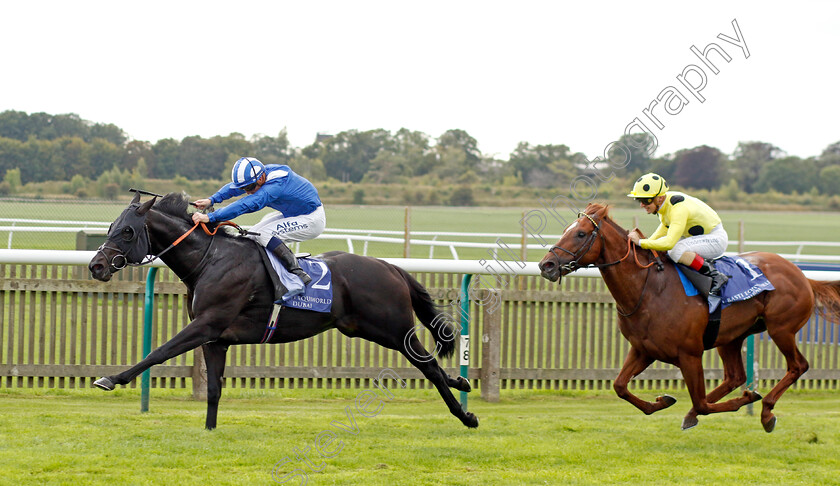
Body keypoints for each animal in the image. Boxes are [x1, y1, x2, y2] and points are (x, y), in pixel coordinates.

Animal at [89, 193, 480, 430]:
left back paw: (465, 415)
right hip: (364, 328)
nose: (96, 266)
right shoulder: (216, 339)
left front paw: (110, 378)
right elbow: (213, 388)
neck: (210, 260)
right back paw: (461, 383)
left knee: (428, 365)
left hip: (394, 329)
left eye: (127, 231)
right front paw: (209, 430)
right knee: (430, 364)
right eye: (110, 227)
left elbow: (159, 352)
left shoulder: (207, 324)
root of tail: (390, 266)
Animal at [540, 203, 840, 430]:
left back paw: (766, 411)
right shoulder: (643, 349)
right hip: (729, 337)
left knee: (798, 366)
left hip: (781, 329)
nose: (547, 265)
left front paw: (746, 399)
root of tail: (802, 275)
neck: (649, 289)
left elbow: (701, 402)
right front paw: (662, 402)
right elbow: (620, 386)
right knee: (734, 376)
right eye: (566, 231)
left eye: (580, 234)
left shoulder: (689, 354)